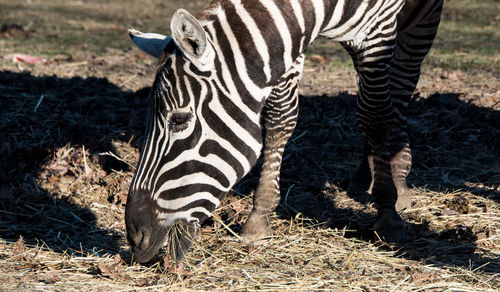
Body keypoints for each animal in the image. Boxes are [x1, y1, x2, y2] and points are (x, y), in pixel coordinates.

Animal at [124, 0, 442, 264]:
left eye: (179, 120)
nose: (135, 237)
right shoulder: (290, 37)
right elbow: (281, 118)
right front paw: (259, 218)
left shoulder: (378, 27)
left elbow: (375, 113)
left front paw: (387, 214)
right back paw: (366, 174)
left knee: (398, 89)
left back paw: (397, 178)